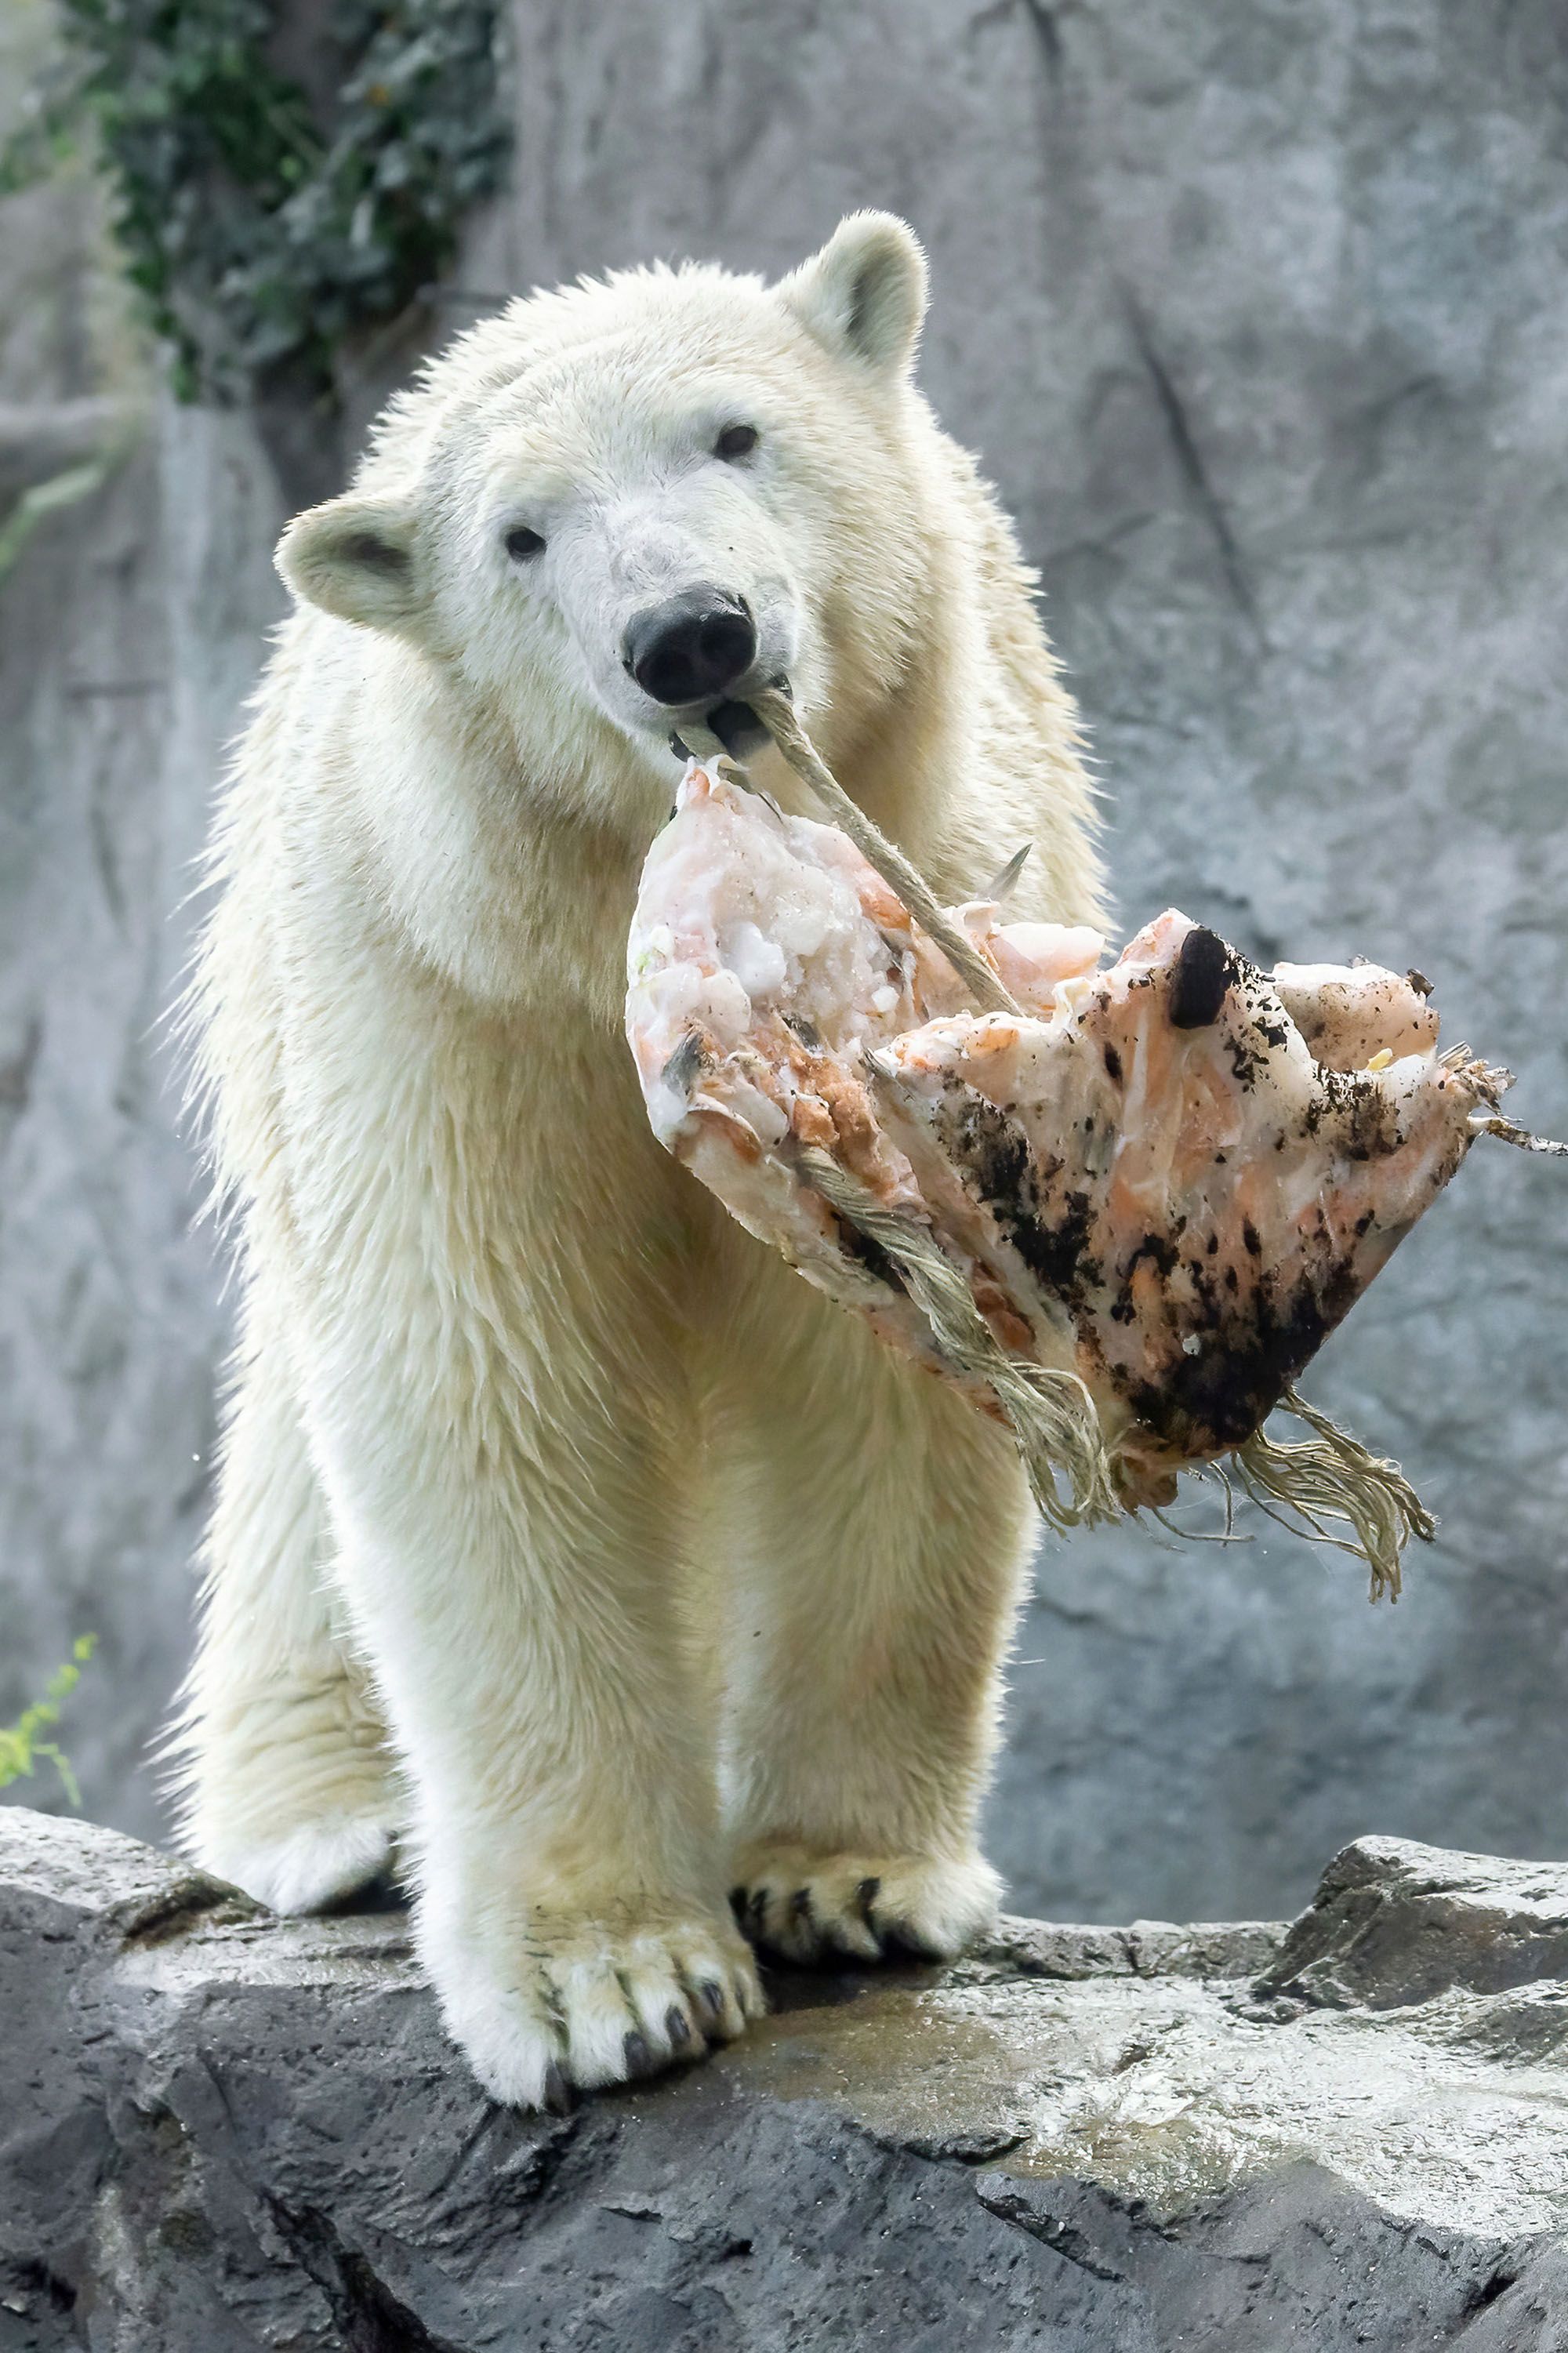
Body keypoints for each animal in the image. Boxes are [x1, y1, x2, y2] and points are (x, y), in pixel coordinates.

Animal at [174, 212, 1097, 2108]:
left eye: (734, 434)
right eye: (521, 536)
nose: (688, 634)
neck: (626, 894)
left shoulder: (942, 891)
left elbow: (893, 1353)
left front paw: (845, 1875)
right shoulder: (441, 979)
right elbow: (486, 1379)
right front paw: (615, 1980)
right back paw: (333, 1815)